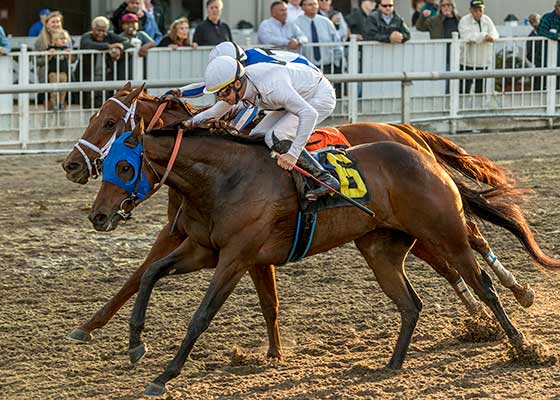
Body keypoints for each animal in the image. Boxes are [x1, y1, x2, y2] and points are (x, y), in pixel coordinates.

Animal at [62, 84, 556, 354]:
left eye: (108, 123)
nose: (70, 166)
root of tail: (402, 130)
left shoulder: (220, 245)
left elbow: (140, 277)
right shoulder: (198, 240)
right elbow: (147, 277)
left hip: (425, 219)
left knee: (468, 243)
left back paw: (516, 295)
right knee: (450, 256)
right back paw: (482, 311)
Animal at [91, 126, 556, 396]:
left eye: (123, 166)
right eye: (104, 165)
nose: (98, 216)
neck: (225, 178)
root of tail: (426, 156)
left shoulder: (236, 257)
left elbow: (200, 316)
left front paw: (165, 374)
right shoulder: (203, 250)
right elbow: (151, 274)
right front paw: (135, 344)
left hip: (445, 234)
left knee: (482, 283)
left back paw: (523, 344)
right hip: (381, 249)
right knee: (411, 303)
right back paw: (391, 365)